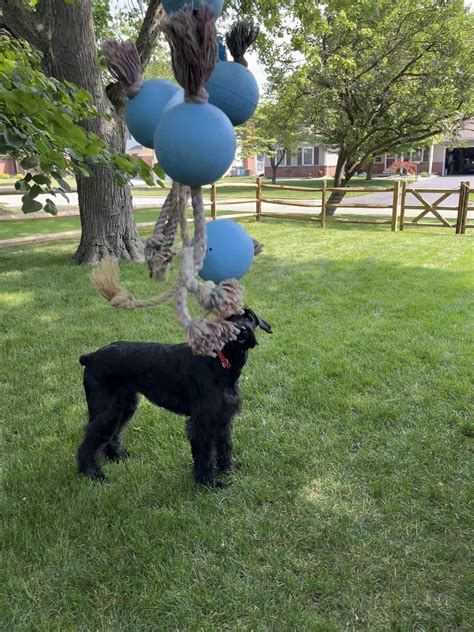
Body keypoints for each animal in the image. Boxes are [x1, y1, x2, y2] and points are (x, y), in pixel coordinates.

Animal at [77, 308, 270, 486]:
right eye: (229, 318)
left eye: (249, 317)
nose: (241, 330)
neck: (221, 360)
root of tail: (91, 357)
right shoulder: (202, 421)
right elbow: (205, 453)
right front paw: (208, 482)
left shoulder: (222, 416)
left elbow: (224, 445)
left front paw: (228, 468)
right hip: (107, 409)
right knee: (91, 437)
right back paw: (91, 473)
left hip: (123, 406)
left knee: (112, 433)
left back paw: (116, 457)